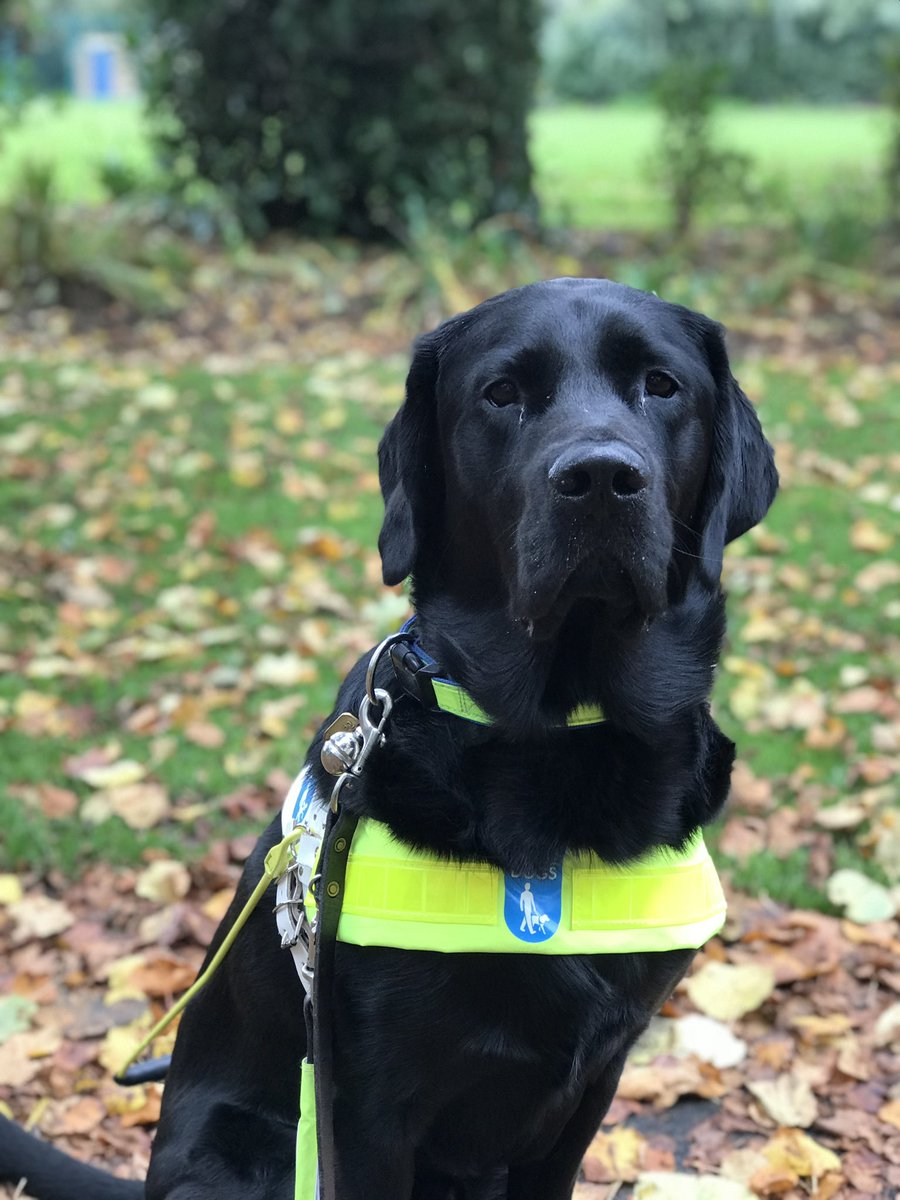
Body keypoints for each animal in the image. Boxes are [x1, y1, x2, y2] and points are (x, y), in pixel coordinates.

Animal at [0, 278, 777, 1200]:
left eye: (662, 385)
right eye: (501, 393)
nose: (598, 478)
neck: (557, 737)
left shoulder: (593, 1085)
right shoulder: (365, 1099)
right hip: (248, 1153)